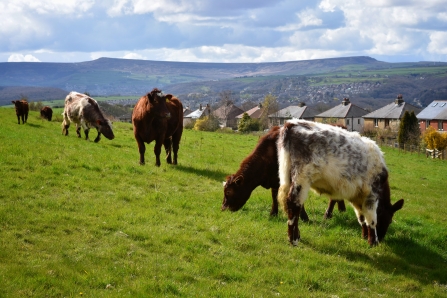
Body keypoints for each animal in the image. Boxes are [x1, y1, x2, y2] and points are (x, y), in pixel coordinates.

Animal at [276, 118, 406, 247]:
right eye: (389, 220)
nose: (382, 238)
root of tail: (292, 123)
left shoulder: (357, 196)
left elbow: (361, 217)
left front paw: (364, 236)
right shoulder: (371, 195)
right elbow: (371, 219)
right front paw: (373, 241)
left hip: (286, 175)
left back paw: (295, 235)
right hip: (302, 177)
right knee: (293, 203)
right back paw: (293, 239)